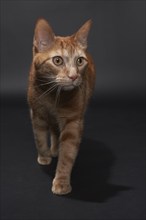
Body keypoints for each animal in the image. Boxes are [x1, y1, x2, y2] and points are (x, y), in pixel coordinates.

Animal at [27, 18, 96, 194]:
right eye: (57, 60)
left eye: (79, 61)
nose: (74, 76)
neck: (52, 97)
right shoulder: (37, 114)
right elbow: (39, 138)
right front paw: (44, 156)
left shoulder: (73, 122)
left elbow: (67, 154)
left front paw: (62, 181)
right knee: (52, 130)